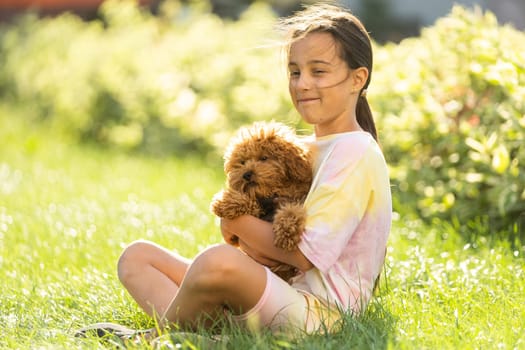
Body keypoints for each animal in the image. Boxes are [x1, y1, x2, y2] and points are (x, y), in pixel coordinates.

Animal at [211, 121, 314, 280]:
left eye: (264, 158)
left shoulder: (295, 200)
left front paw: (286, 232)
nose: (246, 174)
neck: (273, 192)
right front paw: (224, 202)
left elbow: (292, 211)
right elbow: (251, 202)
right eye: (242, 162)